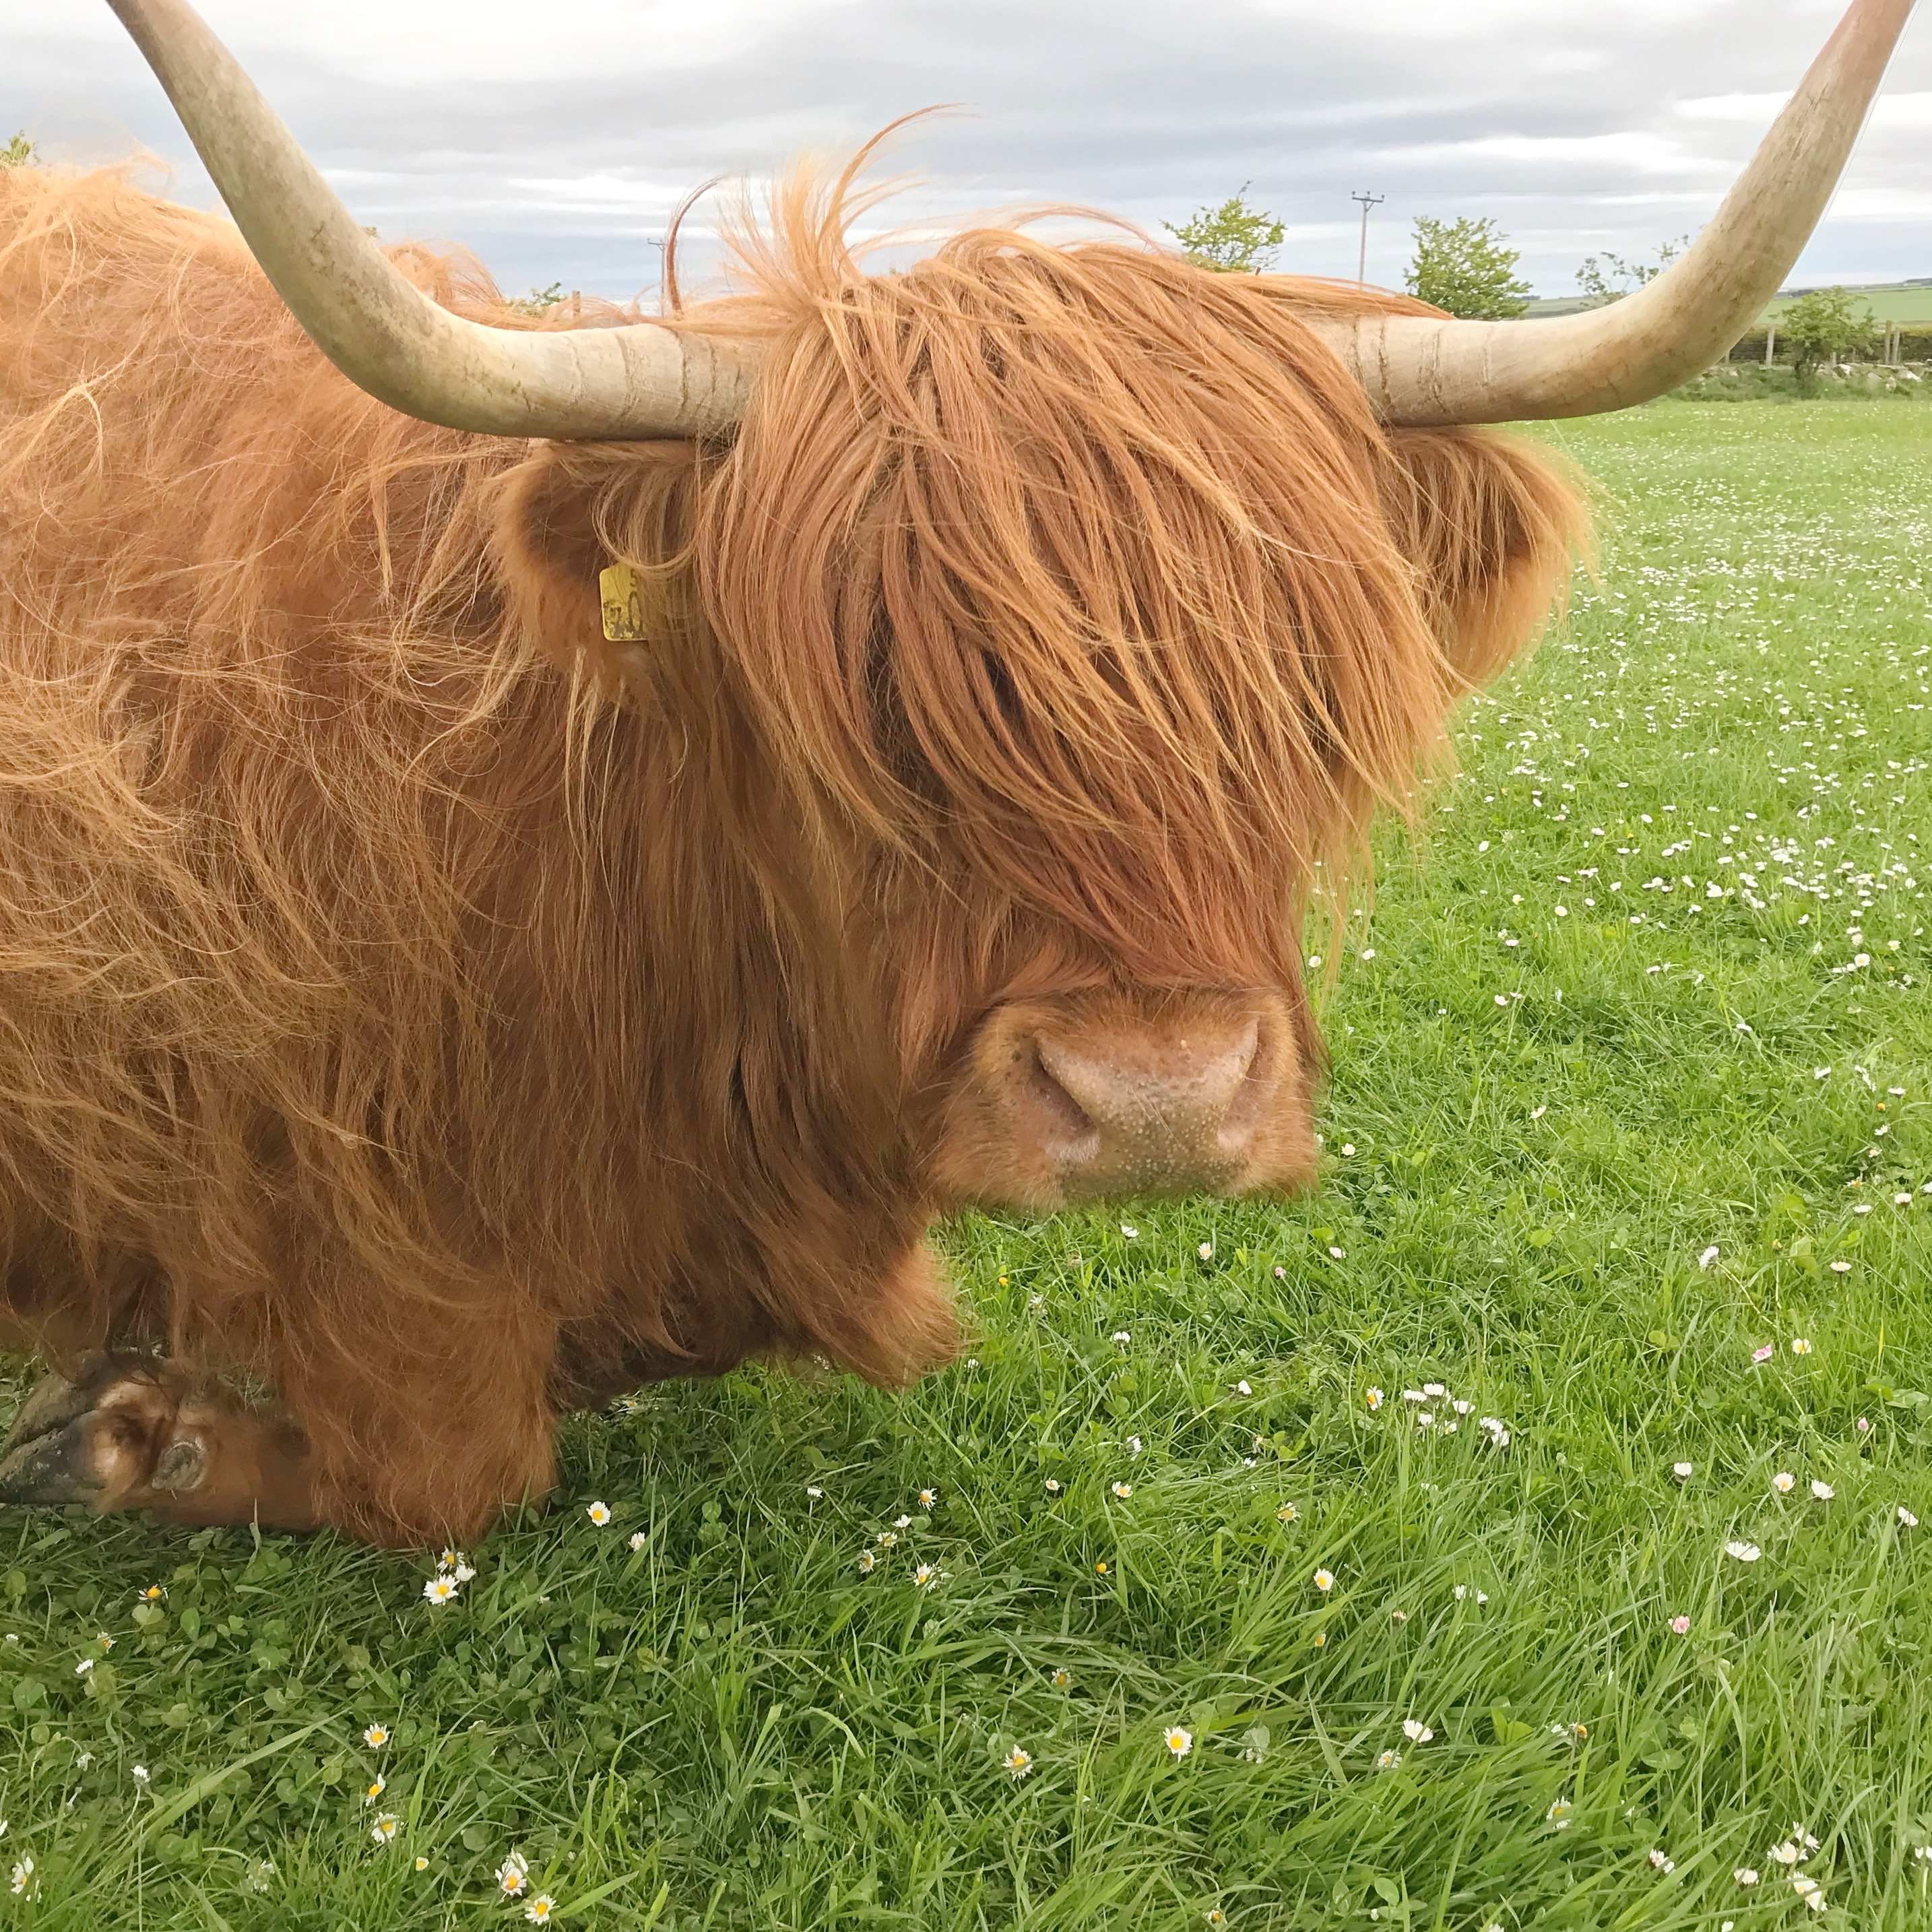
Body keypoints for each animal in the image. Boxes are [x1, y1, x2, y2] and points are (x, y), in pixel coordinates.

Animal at [0, 0, 1911, 1545]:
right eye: (860, 704)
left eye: (1294, 688)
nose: (1155, 1104)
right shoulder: (334, 1206)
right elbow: (454, 1469)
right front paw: (131, 1434)